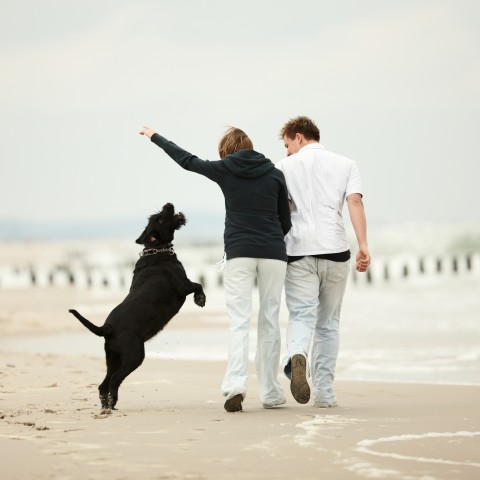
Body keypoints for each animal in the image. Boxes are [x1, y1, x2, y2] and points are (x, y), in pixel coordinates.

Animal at [69, 202, 206, 408]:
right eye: (160, 219)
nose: (168, 204)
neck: (156, 249)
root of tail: (107, 328)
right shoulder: (183, 285)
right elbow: (198, 284)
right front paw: (200, 299)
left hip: (113, 358)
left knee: (104, 384)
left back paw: (107, 405)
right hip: (133, 357)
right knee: (115, 380)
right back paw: (112, 401)